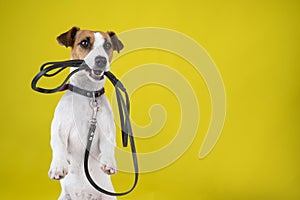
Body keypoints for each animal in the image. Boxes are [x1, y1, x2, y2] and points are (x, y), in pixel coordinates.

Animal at [48, 27, 123, 200]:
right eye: (84, 43)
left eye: (108, 45)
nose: (101, 60)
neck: (88, 94)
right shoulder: (59, 129)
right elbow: (58, 145)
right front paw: (58, 166)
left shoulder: (107, 129)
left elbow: (109, 144)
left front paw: (109, 161)